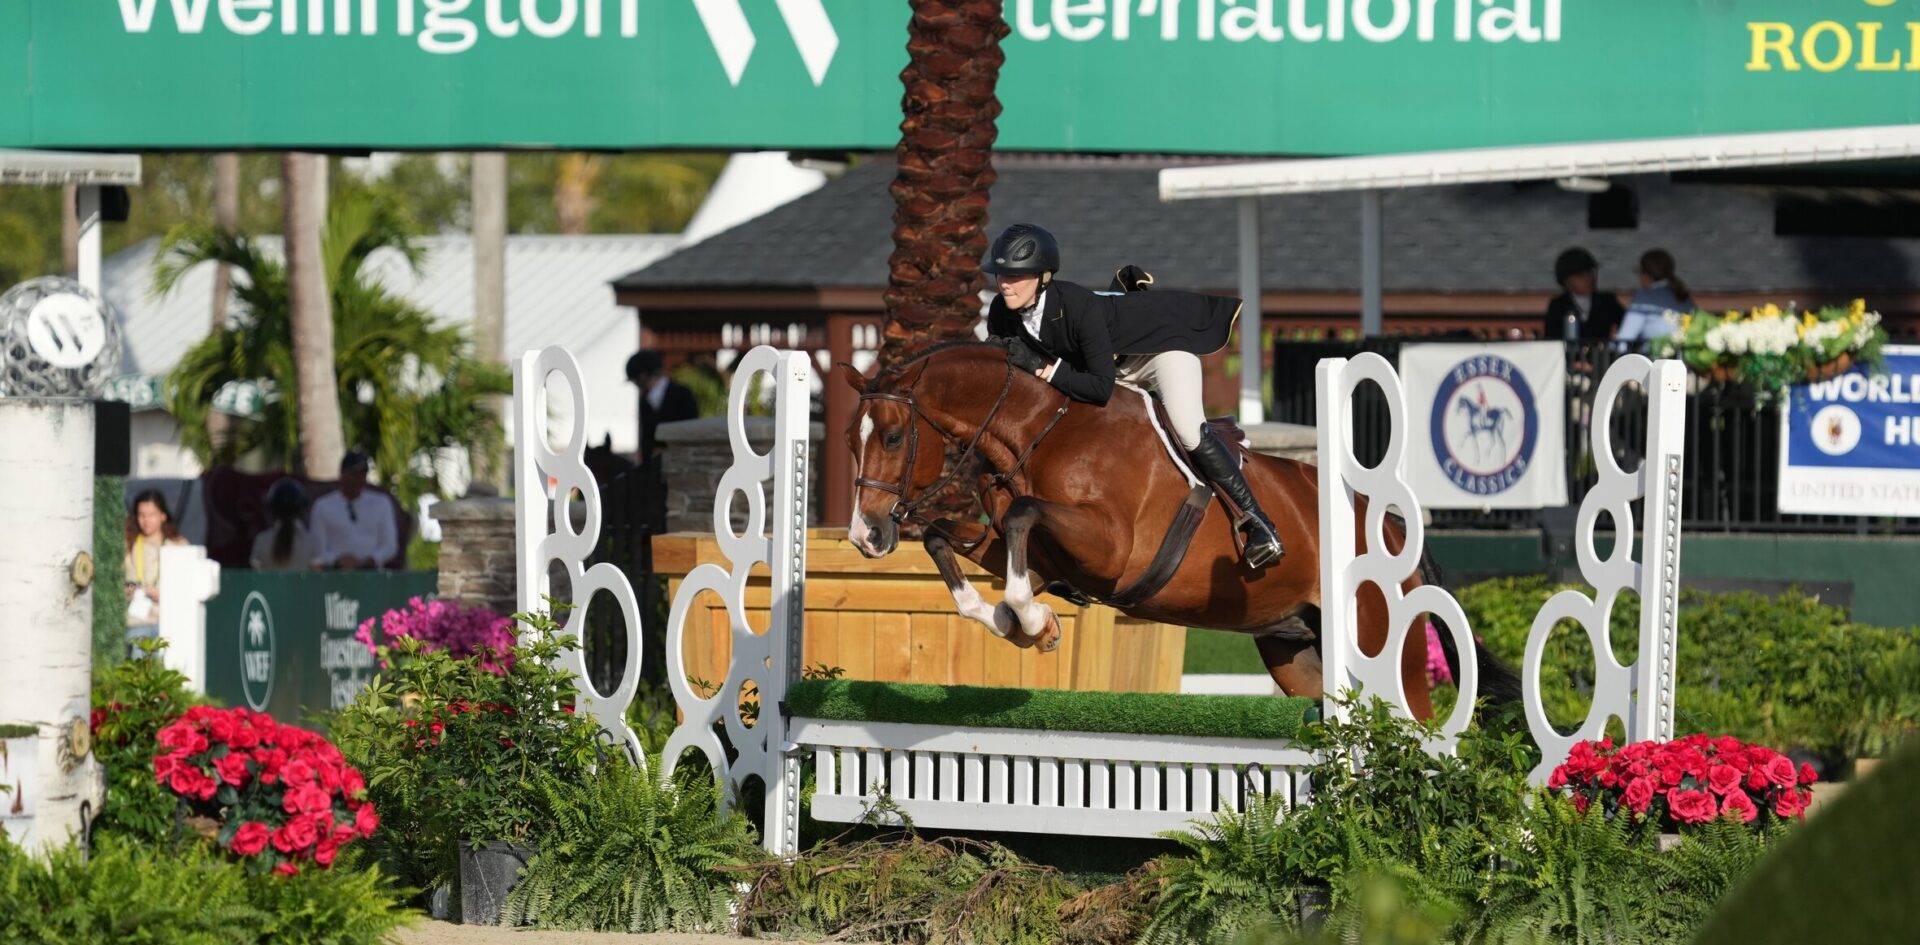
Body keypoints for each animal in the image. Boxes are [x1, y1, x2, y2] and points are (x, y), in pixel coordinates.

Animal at [839, 342, 1517, 721]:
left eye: (893, 437)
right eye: (851, 439)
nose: (866, 536)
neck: (1039, 427)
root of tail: (1396, 535)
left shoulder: (1110, 550)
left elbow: (1023, 514)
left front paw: (1035, 622)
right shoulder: (1038, 555)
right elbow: (948, 539)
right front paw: (1020, 623)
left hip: (1386, 650)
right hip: (1298, 653)